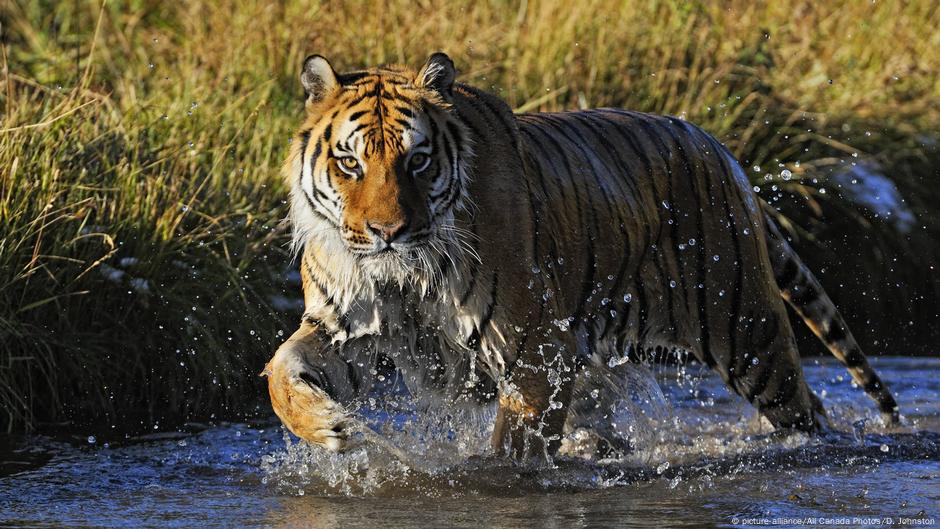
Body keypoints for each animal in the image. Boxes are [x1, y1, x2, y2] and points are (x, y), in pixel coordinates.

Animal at [260, 53, 900, 456]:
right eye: (350, 163)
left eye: (417, 160)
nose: (386, 230)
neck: (405, 272)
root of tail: (722, 149)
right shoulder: (347, 325)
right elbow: (281, 371)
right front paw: (329, 426)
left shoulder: (536, 349)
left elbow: (515, 448)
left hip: (747, 330)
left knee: (805, 408)